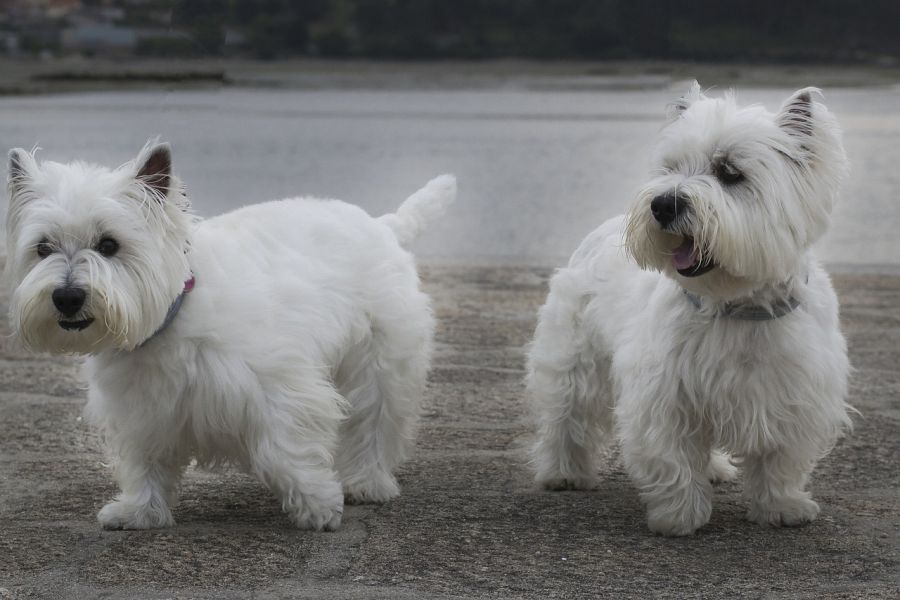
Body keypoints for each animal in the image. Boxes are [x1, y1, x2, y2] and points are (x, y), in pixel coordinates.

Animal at [5, 143, 458, 532]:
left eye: (109, 244)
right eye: (43, 247)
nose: (66, 298)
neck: (174, 315)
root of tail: (383, 225)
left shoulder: (279, 388)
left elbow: (285, 449)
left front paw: (317, 505)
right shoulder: (141, 410)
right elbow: (144, 461)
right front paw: (139, 511)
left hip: (382, 362)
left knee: (374, 423)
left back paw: (367, 484)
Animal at [532, 83, 856, 536]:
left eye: (730, 172)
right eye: (671, 166)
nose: (663, 205)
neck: (738, 305)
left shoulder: (795, 395)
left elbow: (780, 461)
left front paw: (783, 507)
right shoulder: (665, 395)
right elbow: (673, 459)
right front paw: (679, 517)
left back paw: (717, 470)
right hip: (574, 360)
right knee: (567, 416)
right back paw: (563, 473)